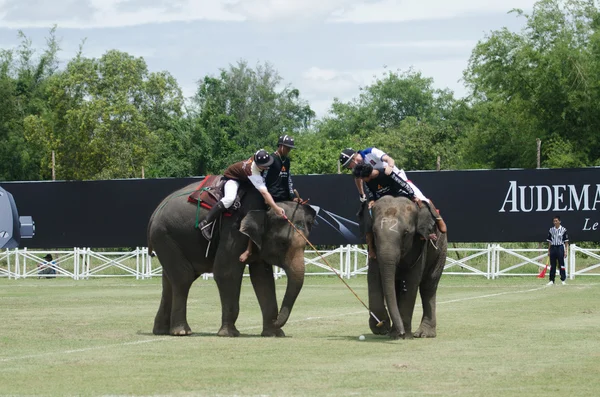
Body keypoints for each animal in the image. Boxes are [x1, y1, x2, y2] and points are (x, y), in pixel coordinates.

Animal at [148, 181, 316, 336]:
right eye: (282, 243)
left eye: (306, 243)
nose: (276, 320)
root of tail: (155, 211)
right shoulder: (233, 229)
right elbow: (227, 272)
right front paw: (229, 333)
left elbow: (263, 278)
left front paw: (274, 334)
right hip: (164, 235)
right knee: (183, 278)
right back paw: (182, 331)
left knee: (169, 281)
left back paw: (161, 331)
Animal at [364, 195, 448, 338]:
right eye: (374, 232)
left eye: (405, 233)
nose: (402, 333)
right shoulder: (373, 248)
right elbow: (373, 277)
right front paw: (381, 328)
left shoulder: (420, 244)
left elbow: (411, 280)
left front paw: (399, 334)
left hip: (441, 250)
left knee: (428, 286)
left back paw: (423, 334)